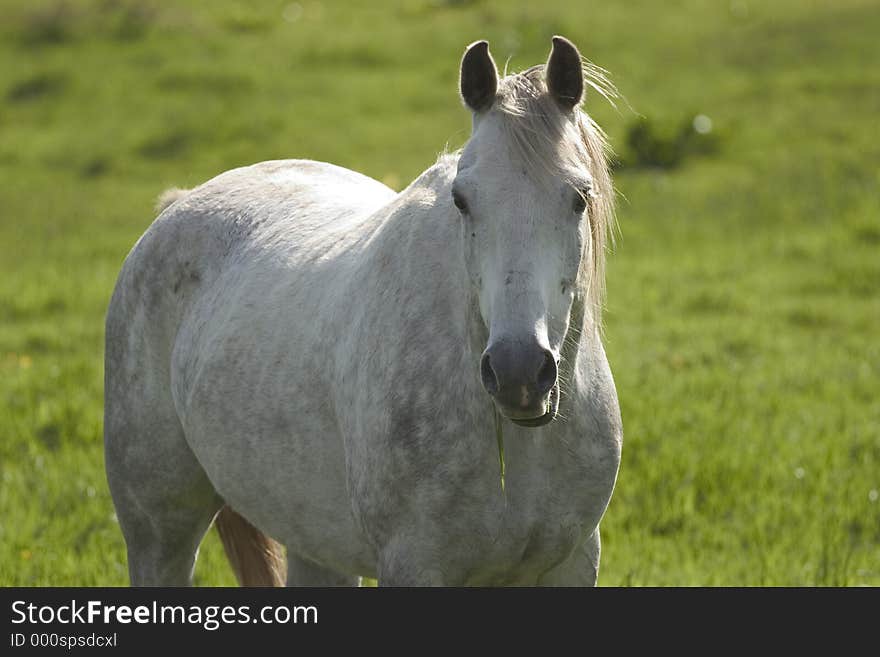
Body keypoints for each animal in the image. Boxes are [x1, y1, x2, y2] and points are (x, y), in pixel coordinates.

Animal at [103, 36, 624, 588]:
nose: (517, 372)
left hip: (312, 542)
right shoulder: (413, 563)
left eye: (580, 197)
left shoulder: (572, 561)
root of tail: (177, 206)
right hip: (159, 530)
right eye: (462, 200)